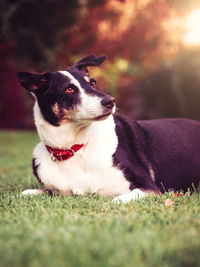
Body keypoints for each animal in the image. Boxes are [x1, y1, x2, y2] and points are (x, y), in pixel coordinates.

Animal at [17, 55, 200, 204]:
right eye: (69, 89)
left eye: (93, 82)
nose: (110, 101)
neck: (76, 148)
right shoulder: (55, 190)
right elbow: (27, 192)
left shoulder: (150, 188)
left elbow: (119, 199)